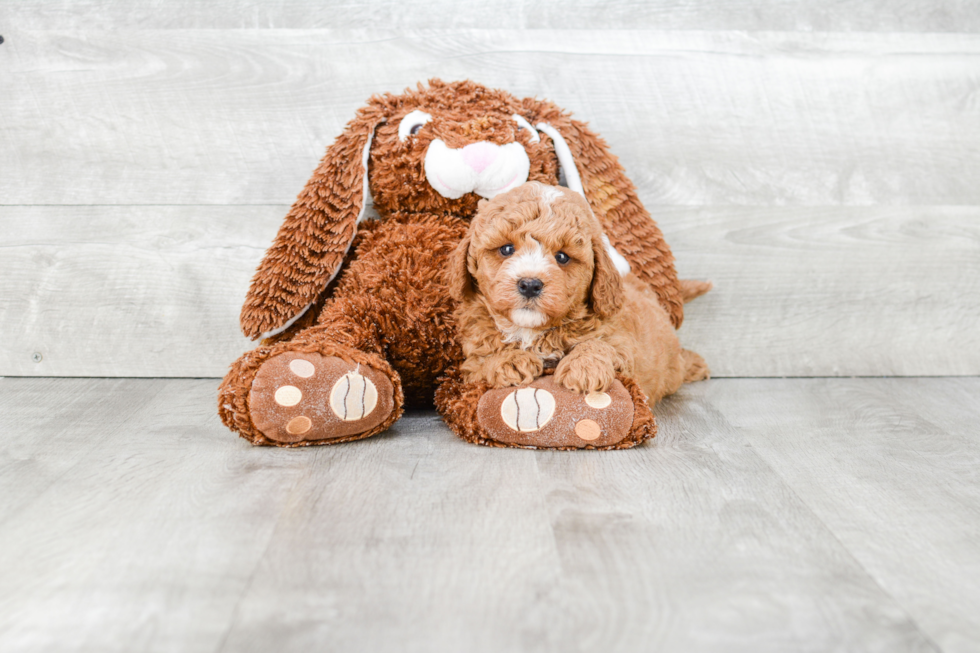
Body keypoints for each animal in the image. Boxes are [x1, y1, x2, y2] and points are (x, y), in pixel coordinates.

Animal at [448, 180, 708, 402]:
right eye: (506, 249)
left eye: (562, 257)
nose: (530, 284)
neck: (532, 331)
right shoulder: (469, 363)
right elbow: (482, 359)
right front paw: (508, 360)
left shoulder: (622, 343)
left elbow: (601, 345)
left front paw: (585, 368)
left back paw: (695, 364)